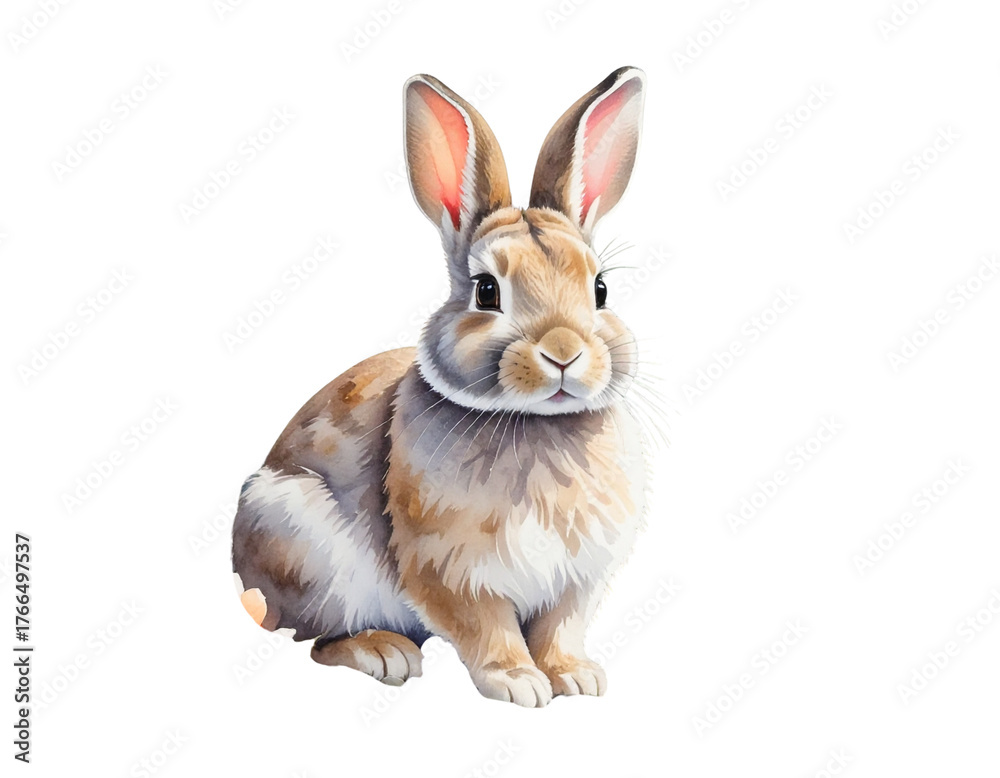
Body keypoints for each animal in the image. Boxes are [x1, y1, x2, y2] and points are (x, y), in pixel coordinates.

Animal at [232, 66, 649, 707]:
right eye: (486, 291)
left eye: (600, 289)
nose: (563, 352)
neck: (535, 424)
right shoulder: (452, 570)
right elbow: (486, 627)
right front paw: (518, 684)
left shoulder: (576, 579)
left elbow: (559, 628)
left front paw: (576, 678)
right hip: (306, 550)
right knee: (318, 640)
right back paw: (385, 653)